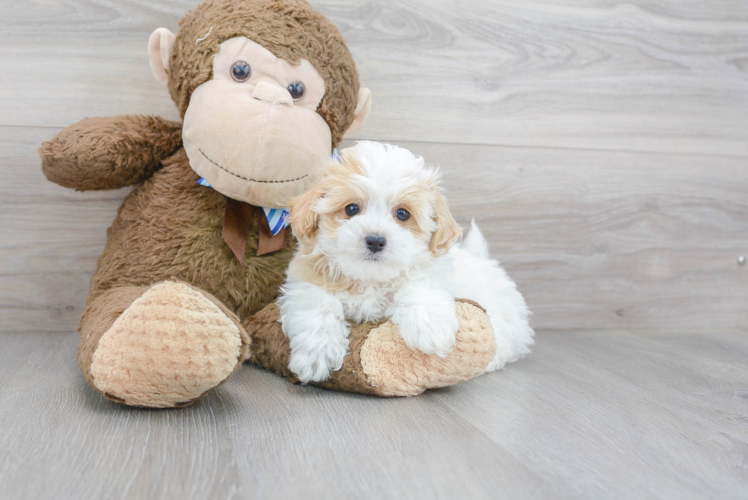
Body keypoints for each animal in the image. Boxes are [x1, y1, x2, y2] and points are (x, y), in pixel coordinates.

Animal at [280, 141, 532, 382]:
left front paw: (430, 329)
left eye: (402, 214)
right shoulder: (305, 282)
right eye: (351, 208)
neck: (369, 279)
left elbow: (418, 285)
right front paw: (316, 355)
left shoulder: (431, 270)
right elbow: (318, 307)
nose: (375, 240)